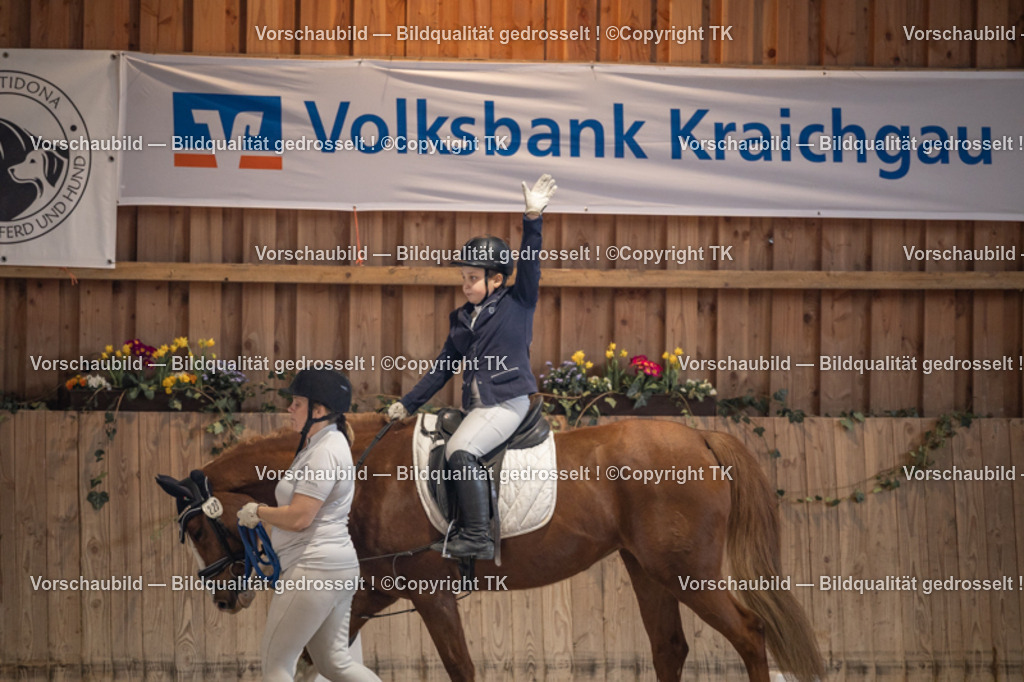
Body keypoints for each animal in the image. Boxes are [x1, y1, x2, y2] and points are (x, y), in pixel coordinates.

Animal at [157, 413, 825, 682]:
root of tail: (700, 435)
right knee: (670, 649)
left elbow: (461, 666)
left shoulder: (429, 594)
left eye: (199, 530)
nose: (224, 600)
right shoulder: (375, 590)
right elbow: (315, 659)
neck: (362, 475)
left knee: (749, 634)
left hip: (687, 572)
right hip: (648, 571)